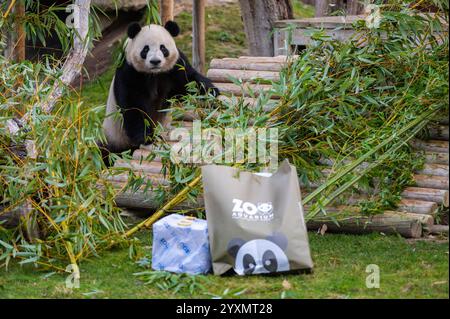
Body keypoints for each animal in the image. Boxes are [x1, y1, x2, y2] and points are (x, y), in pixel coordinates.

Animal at [100, 20, 218, 162]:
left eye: (163, 48)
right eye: (145, 49)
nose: (155, 61)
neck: (154, 74)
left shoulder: (175, 67)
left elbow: (189, 83)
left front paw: (212, 92)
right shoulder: (129, 71)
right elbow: (133, 106)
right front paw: (147, 137)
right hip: (114, 136)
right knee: (107, 153)